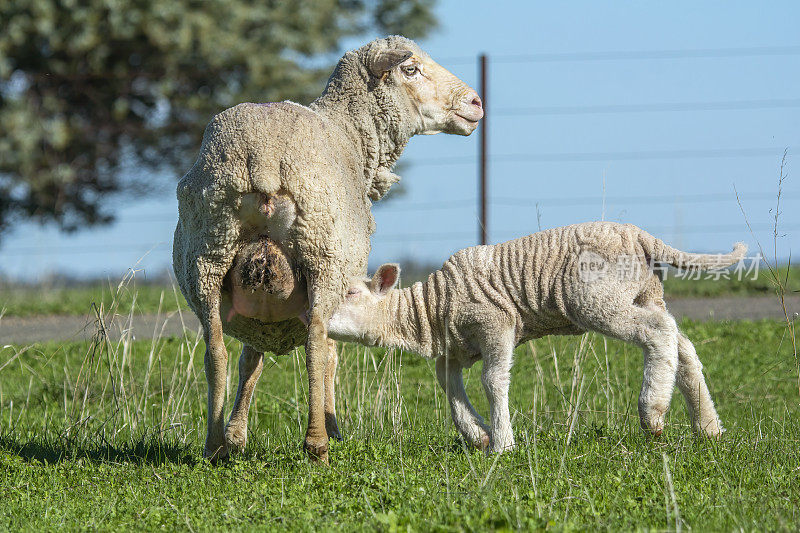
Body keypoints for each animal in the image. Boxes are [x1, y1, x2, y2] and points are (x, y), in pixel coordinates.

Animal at [173, 36, 482, 462]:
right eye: (410, 69)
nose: (476, 103)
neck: (353, 134)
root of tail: (261, 157)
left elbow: (250, 358)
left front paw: (237, 433)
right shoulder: (346, 280)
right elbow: (331, 352)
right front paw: (333, 429)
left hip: (205, 258)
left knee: (215, 350)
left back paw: (215, 445)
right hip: (323, 257)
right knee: (317, 344)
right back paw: (317, 442)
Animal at [326, 220, 744, 448]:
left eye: (350, 293)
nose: (316, 320)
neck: (430, 309)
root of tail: (640, 235)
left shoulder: (494, 322)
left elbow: (493, 380)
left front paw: (502, 443)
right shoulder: (455, 348)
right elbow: (449, 387)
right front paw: (476, 434)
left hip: (598, 298)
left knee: (658, 332)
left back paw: (653, 412)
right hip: (645, 291)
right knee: (681, 343)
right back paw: (708, 427)